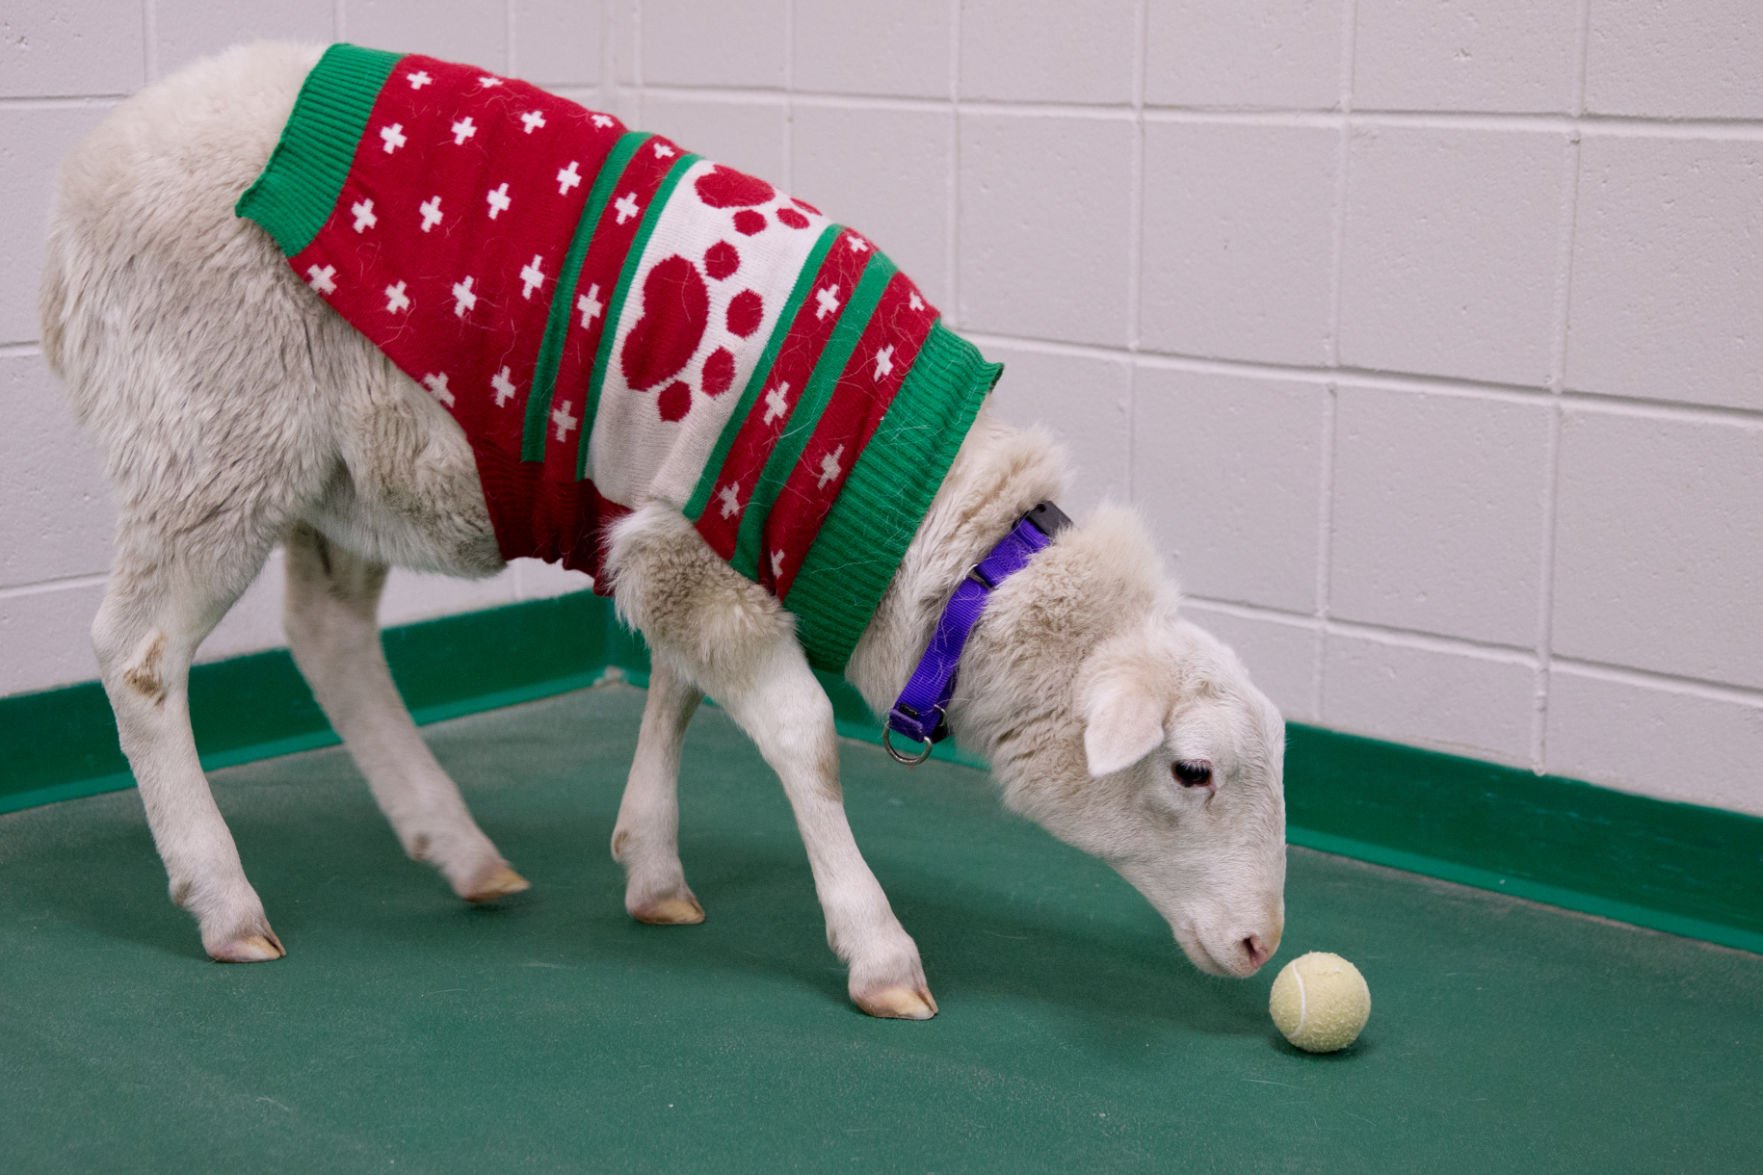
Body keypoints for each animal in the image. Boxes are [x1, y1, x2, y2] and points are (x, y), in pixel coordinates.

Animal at [37, 43, 1283, 1016]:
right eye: (1191, 771)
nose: (1263, 946)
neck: (934, 536)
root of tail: (77, 198)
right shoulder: (694, 542)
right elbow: (801, 735)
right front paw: (876, 949)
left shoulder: (679, 541)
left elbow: (674, 694)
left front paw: (651, 865)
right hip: (212, 428)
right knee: (138, 655)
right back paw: (223, 897)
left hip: (341, 466)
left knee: (326, 633)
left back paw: (459, 848)